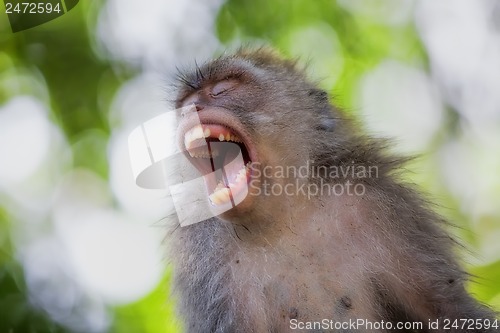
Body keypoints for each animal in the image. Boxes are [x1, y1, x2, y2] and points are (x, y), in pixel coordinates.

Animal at [166, 48, 498, 330]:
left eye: (222, 89)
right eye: (184, 104)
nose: (191, 109)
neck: (287, 218)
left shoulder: (385, 209)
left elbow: (449, 310)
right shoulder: (204, 258)